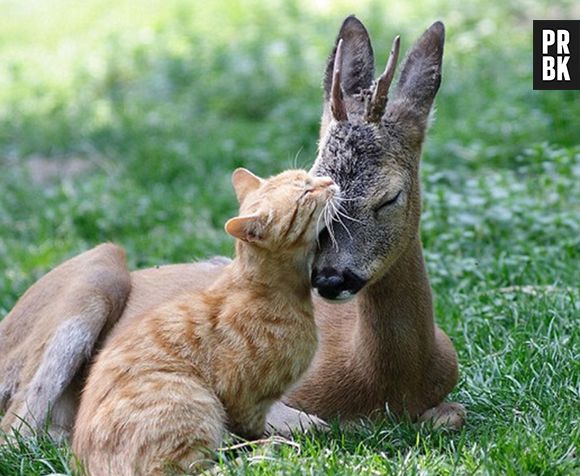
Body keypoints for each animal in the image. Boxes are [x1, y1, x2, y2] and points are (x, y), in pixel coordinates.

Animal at [73, 168, 338, 476]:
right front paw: (268, 442)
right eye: (305, 192)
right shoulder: (243, 399)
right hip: (194, 400)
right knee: (195, 469)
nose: (331, 181)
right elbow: (251, 428)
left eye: (308, 176)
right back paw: (265, 453)